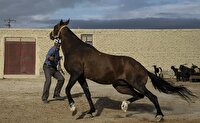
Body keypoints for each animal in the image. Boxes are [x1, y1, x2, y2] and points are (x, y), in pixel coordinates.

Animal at [49, 19, 196, 121]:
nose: (51, 35)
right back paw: (124, 105)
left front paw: (73, 109)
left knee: (151, 96)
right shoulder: (81, 77)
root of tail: (142, 67)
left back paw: (159, 116)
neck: (76, 49)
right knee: (139, 95)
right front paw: (91, 112)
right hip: (121, 86)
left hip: (136, 84)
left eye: (55, 27)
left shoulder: (75, 74)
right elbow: (87, 94)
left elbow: (67, 89)